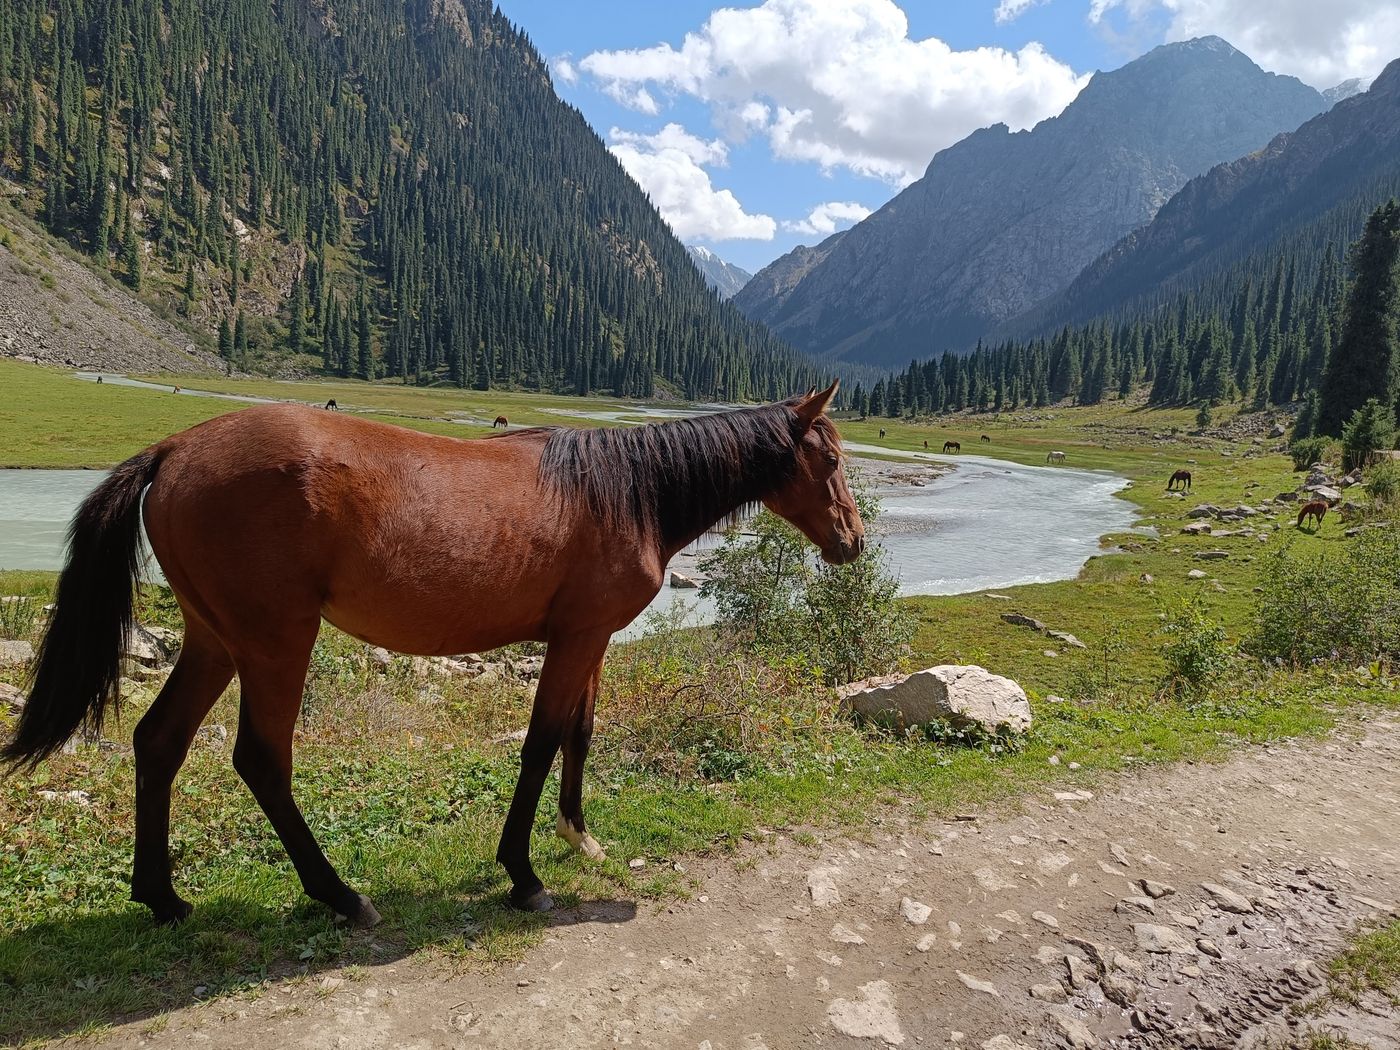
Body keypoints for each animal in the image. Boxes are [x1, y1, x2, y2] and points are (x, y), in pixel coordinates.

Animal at [2, 383, 862, 925]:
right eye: (829, 459)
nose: (852, 541)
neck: (627, 492)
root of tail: (176, 448)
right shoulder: (577, 640)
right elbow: (541, 743)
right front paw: (523, 874)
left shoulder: (590, 640)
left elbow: (580, 736)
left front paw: (579, 836)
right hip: (276, 642)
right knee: (261, 760)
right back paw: (340, 896)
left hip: (215, 640)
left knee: (160, 743)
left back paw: (163, 898)